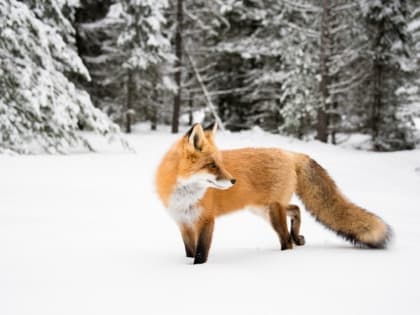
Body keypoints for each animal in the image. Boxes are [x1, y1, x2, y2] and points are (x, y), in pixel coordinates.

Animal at [156, 123, 392, 264]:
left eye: (220, 163)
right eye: (212, 165)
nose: (233, 180)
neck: (184, 195)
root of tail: (290, 154)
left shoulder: (206, 220)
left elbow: (200, 253)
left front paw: (197, 270)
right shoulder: (183, 223)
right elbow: (189, 251)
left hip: (271, 211)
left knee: (286, 240)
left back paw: (286, 251)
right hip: (263, 209)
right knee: (296, 209)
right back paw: (298, 236)